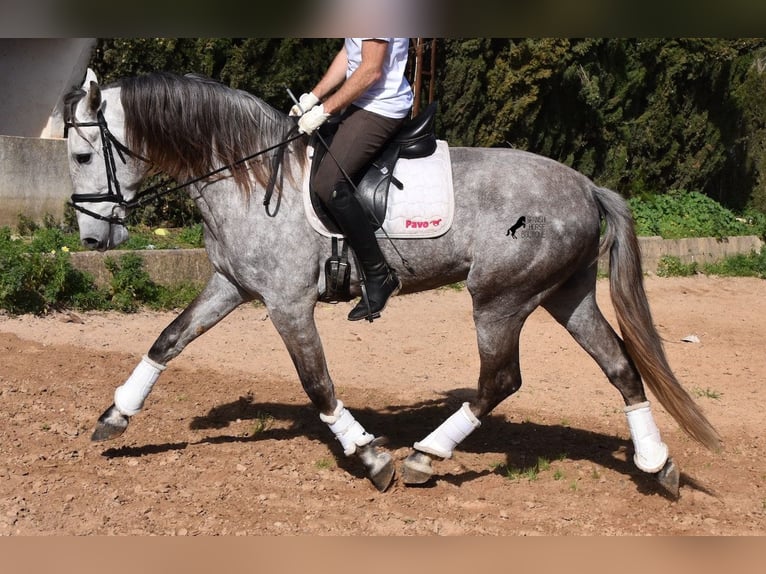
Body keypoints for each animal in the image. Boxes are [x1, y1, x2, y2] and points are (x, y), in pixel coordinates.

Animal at [61, 72, 720, 498]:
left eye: (81, 154)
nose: (91, 239)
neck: (248, 174)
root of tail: (587, 186)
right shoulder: (230, 285)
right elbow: (168, 340)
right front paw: (116, 416)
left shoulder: (287, 304)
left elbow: (318, 384)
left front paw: (370, 455)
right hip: (565, 293)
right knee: (620, 366)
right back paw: (656, 464)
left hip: (500, 298)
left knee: (501, 379)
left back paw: (427, 456)